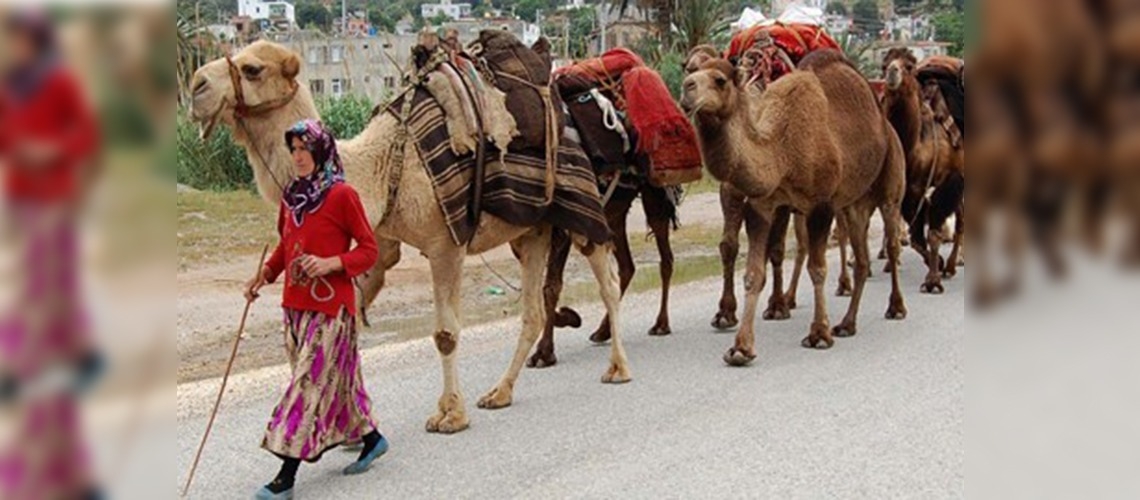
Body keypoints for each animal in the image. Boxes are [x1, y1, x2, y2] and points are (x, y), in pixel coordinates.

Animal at [189, 38, 633, 435]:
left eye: (252, 69)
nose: (196, 86)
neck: (383, 163)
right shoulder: (380, 239)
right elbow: (354, 318)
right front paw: (354, 428)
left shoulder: (446, 245)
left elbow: (445, 334)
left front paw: (450, 416)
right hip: (533, 228)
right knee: (534, 309)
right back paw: (500, 392)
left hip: (582, 212)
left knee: (608, 283)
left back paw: (617, 368)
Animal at [674, 50, 907, 366]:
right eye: (690, 71)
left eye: (720, 80)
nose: (686, 88)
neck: (781, 152)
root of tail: (885, 124)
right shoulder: (762, 205)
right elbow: (753, 274)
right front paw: (741, 348)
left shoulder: (821, 204)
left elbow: (817, 269)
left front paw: (818, 334)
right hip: (854, 204)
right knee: (861, 260)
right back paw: (847, 324)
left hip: (890, 182)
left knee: (892, 243)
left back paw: (895, 307)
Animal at [880, 48, 962, 293]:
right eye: (883, 65)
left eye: (909, 66)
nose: (892, 71)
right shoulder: (910, 188)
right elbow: (917, 237)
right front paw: (937, 264)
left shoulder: (949, 180)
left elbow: (933, 231)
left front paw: (933, 279)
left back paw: (954, 264)